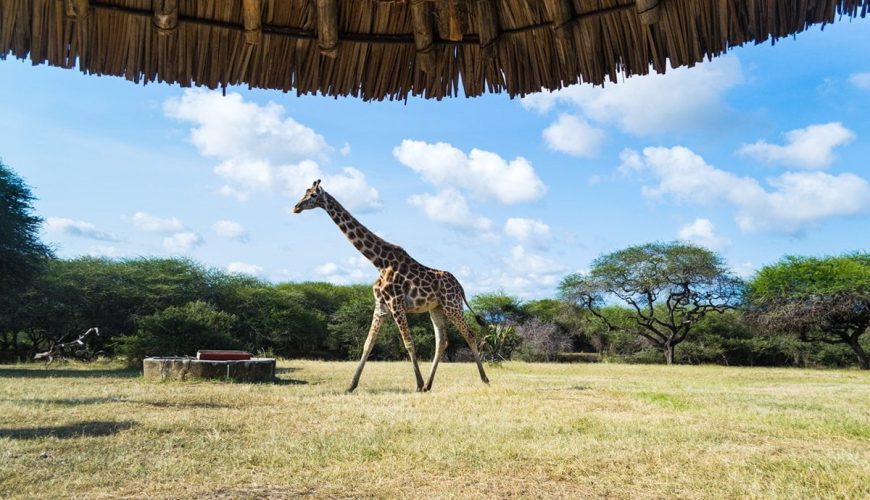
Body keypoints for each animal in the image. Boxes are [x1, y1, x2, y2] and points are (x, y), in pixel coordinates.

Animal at [293, 179, 490, 393]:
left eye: (313, 195)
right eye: (304, 192)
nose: (296, 207)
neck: (379, 261)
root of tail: (460, 287)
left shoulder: (396, 303)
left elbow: (408, 342)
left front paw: (417, 384)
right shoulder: (381, 305)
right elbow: (367, 344)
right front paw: (350, 386)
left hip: (452, 306)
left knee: (470, 334)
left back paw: (484, 379)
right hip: (436, 308)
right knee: (442, 341)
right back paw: (429, 385)